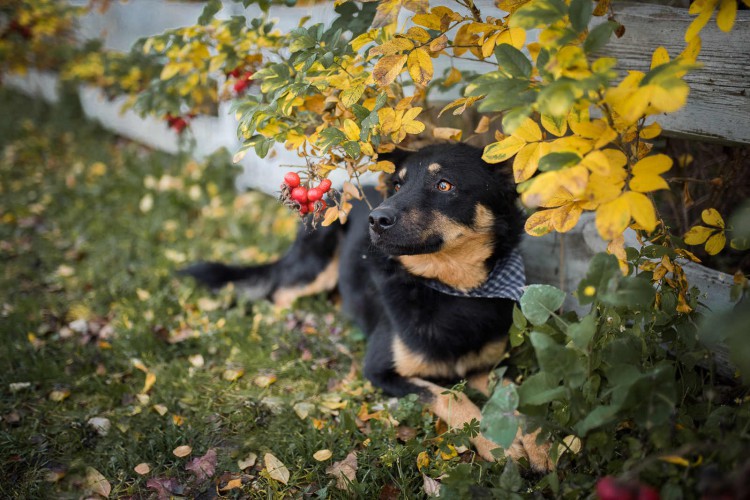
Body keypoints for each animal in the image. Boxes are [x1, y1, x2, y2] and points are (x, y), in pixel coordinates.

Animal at [182, 143, 552, 470]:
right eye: (399, 185)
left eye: (444, 185)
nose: (377, 219)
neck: (452, 289)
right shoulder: (380, 372)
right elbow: (452, 396)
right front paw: (495, 442)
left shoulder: (490, 365)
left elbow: (516, 392)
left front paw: (538, 443)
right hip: (315, 265)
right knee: (280, 292)